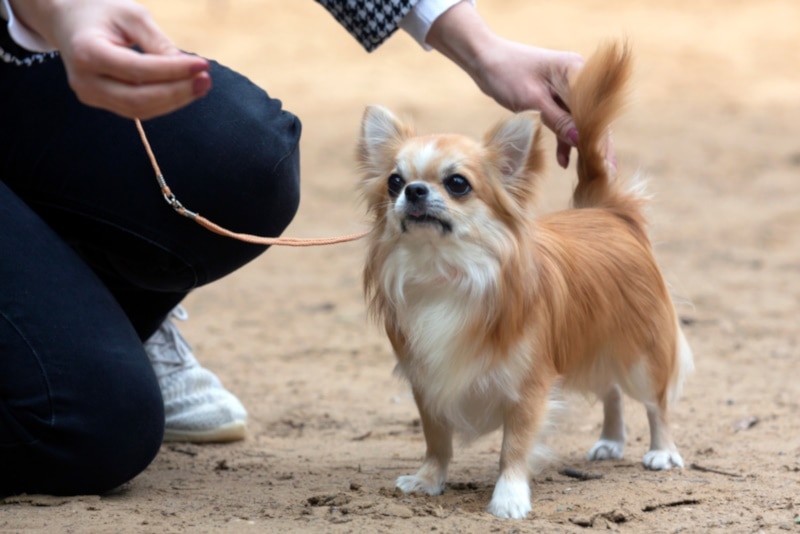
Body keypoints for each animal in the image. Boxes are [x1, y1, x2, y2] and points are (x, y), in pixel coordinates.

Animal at [356, 44, 692, 520]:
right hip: (593, 343)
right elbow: (436, 439)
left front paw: (509, 497)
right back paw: (610, 440)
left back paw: (661, 451)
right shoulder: (428, 381)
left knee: (655, 401)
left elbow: (512, 448)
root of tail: (605, 210)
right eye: (393, 181)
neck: (449, 270)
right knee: (610, 391)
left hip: (640, 353)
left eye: (457, 183)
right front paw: (427, 479)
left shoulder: (528, 386)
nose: (414, 190)